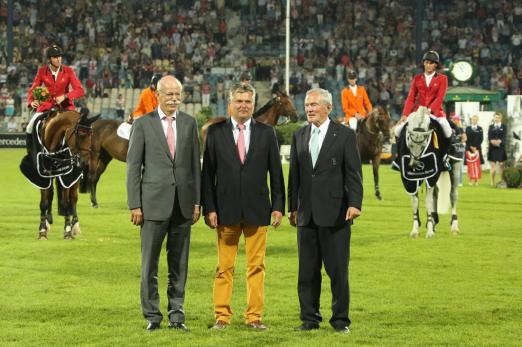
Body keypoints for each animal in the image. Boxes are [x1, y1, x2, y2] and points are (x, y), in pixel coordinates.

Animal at [27, 110, 98, 241]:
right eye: (81, 134)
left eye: (91, 135)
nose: (85, 164)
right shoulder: (43, 176)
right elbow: (44, 202)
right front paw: (42, 230)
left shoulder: (67, 176)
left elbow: (66, 203)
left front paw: (68, 230)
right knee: (50, 195)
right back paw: (48, 221)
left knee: (73, 199)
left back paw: (75, 225)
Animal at [81, 91, 296, 208]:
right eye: (286, 102)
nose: (295, 116)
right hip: (95, 155)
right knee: (92, 176)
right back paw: (94, 202)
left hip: (104, 157)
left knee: (95, 177)